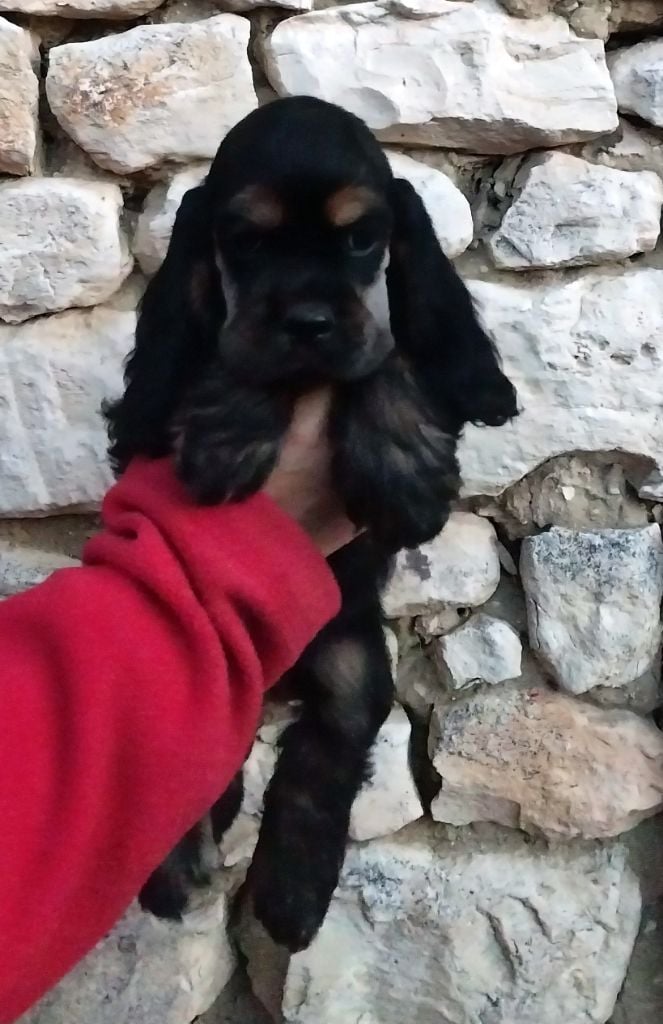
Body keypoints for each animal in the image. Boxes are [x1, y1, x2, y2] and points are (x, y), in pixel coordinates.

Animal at [105, 95, 518, 952]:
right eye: (246, 241)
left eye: (361, 238)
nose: (306, 320)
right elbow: (225, 357)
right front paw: (231, 430)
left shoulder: (401, 347)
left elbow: (386, 352)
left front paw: (402, 473)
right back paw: (176, 868)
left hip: (351, 658)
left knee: (324, 754)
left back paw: (289, 900)